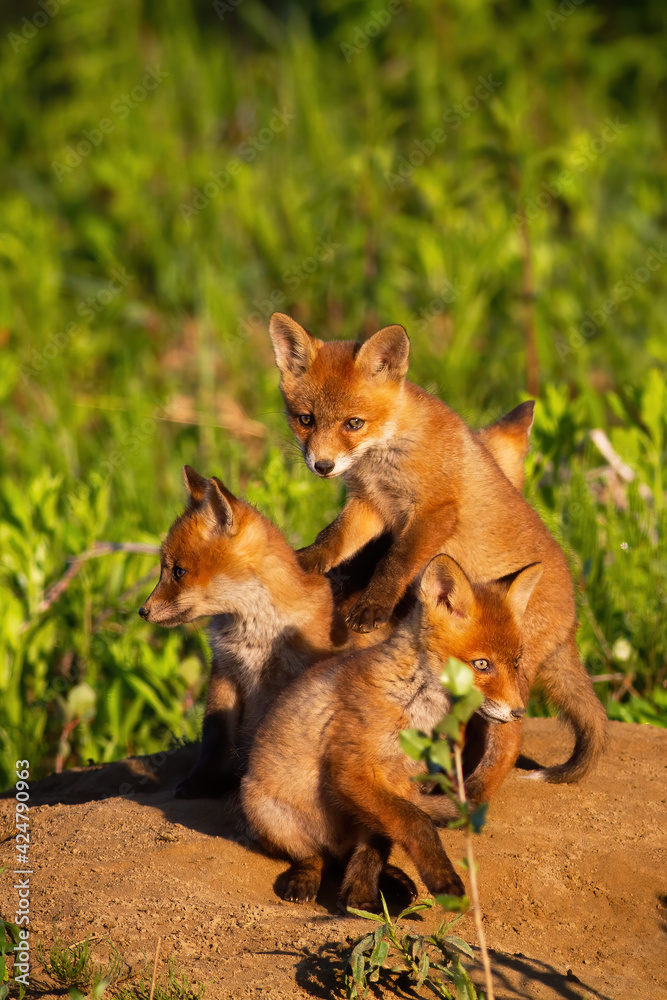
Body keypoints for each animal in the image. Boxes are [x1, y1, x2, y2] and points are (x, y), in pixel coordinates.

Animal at [241, 553, 543, 910]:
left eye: (516, 662)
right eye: (481, 664)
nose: (518, 712)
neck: (413, 704)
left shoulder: (398, 782)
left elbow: (379, 845)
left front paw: (360, 898)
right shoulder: (351, 773)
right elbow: (417, 823)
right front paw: (443, 881)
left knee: (348, 856)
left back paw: (393, 880)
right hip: (267, 813)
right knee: (313, 857)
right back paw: (306, 877)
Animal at [268, 312, 608, 798]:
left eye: (354, 423)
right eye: (305, 419)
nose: (323, 466)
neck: (389, 454)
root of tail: (572, 622)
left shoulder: (433, 512)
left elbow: (397, 562)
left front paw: (372, 605)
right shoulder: (370, 505)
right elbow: (333, 538)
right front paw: (306, 561)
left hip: (506, 675)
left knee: (510, 737)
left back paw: (476, 793)